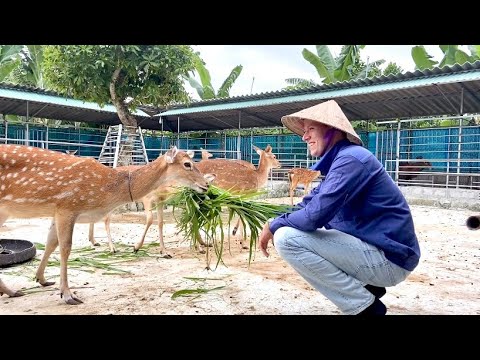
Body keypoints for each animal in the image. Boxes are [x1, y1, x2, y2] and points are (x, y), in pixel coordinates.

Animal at [0, 143, 210, 304]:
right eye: (187, 164)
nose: (206, 185)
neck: (105, 191)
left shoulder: (56, 211)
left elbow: (51, 242)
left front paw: (42, 279)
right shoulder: (67, 206)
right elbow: (65, 248)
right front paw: (67, 294)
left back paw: (11, 291)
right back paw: (11, 291)